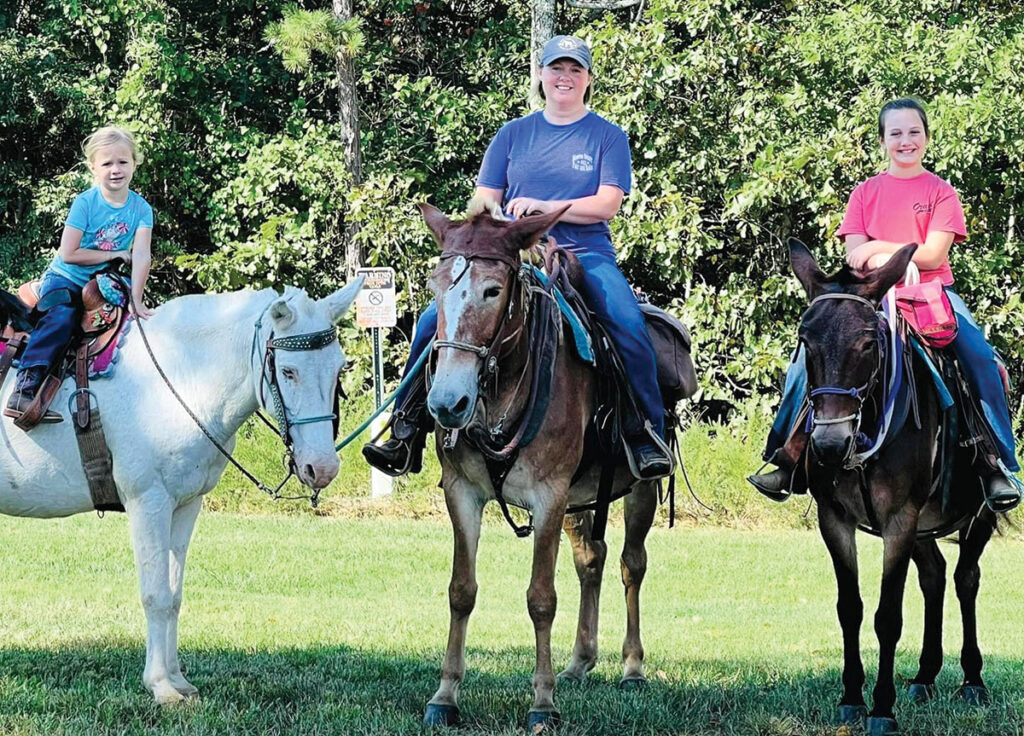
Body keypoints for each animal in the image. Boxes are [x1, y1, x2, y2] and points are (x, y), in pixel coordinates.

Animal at [0, 280, 362, 704]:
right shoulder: (149, 501)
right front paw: (160, 686)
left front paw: (177, 680)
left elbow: (173, 596)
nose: (322, 467)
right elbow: (155, 595)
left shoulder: (186, 505)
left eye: (338, 367)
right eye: (288, 371)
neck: (181, 377)